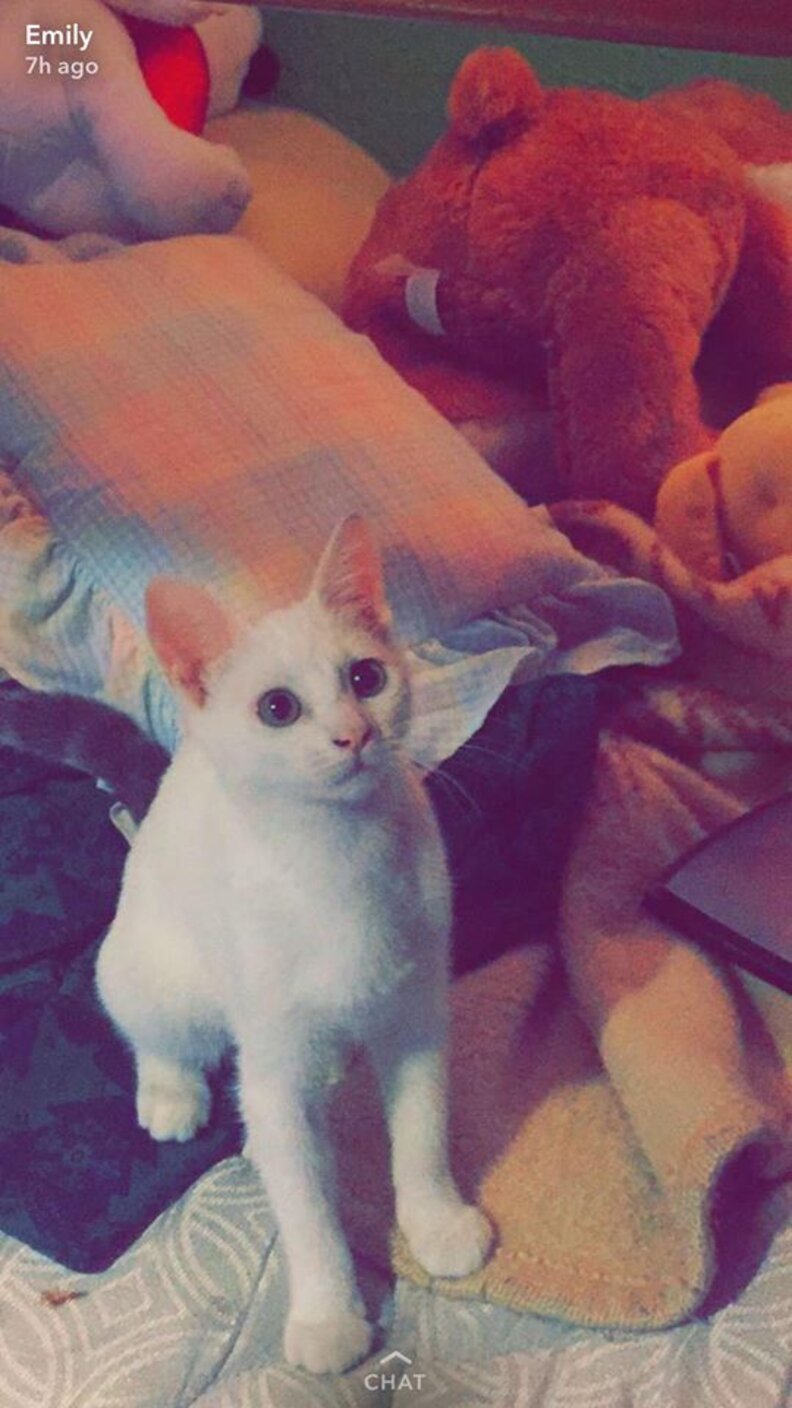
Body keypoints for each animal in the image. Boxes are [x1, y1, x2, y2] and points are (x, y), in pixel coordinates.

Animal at [95, 516, 492, 1377]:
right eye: (277, 707)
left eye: (367, 676)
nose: (355, 733)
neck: (339, 857)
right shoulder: (274, 1069)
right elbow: (307, 1206)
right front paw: (327, 1313)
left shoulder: (417, 1014)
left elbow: (421, 1133)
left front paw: (437, 1221)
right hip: (158, 974)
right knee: (155, 1031)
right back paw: (172, 1093)